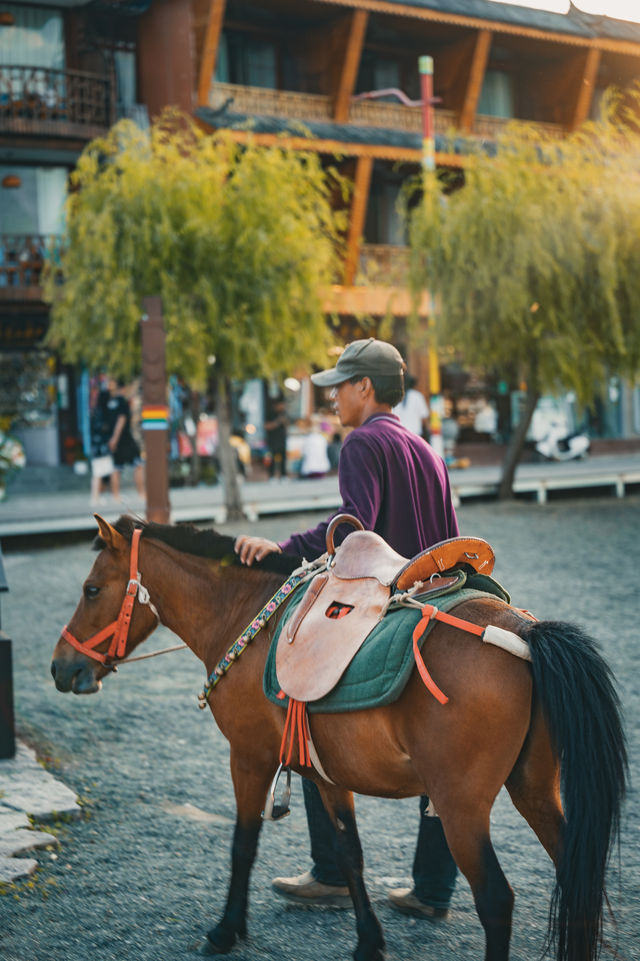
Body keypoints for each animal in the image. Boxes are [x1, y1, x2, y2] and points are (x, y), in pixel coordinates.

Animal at [48, 516, 624, 960]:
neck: (244, 611)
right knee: (577, 873)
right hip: (534, 788)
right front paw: (368, 941)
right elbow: (350, 853)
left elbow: (242, 845)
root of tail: (525, 633)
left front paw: (226, 930)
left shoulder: (248, 758)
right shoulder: (328, 772)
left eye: (91, 589)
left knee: (497, 900)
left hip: (461, 806)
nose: (60, 666)